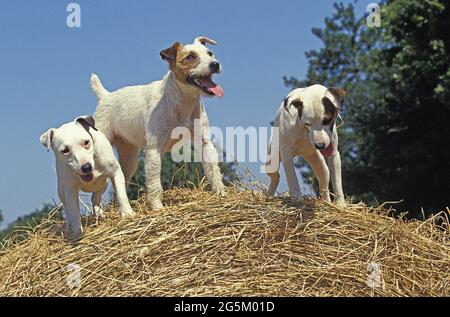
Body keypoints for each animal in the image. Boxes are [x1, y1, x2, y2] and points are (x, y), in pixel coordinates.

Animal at [90, 35, 225, 209]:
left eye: (210, 53)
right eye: (190, 57)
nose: (215, 64)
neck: (181, 99)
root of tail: (105, 96)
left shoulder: (204, 143)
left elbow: (213, 171)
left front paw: (221, 193)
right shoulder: (154, 149)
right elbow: (154, 182)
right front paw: (157, 207)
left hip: (129, 158)